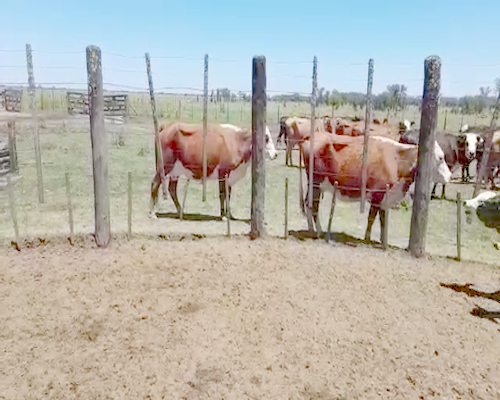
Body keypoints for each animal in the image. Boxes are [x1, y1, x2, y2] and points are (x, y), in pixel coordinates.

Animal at [150, 122, 280, 219]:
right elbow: (222, 194)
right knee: (155, 184)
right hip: (164, 167)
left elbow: (228, 195)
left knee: (172, 189)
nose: (275, 154)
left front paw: (229, 215)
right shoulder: (223, 172)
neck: (237, 141)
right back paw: (152, 213)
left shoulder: (229, 177)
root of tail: (166, 127)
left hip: (175, 171)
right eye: (266, 138)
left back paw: (180, 211)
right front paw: (223, 216)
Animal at [292, 122, 452, 241]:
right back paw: (318, 232)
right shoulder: (377, 194)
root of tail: (310, 137)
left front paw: (382, 241)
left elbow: (382, 220)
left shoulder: (385, 197)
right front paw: (367, 238)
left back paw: (311, 230)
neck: (397, 160)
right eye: (440, 158)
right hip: (316, 184)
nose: (450, 176)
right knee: (314, 206)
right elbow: (371, 218)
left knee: (308, 204)